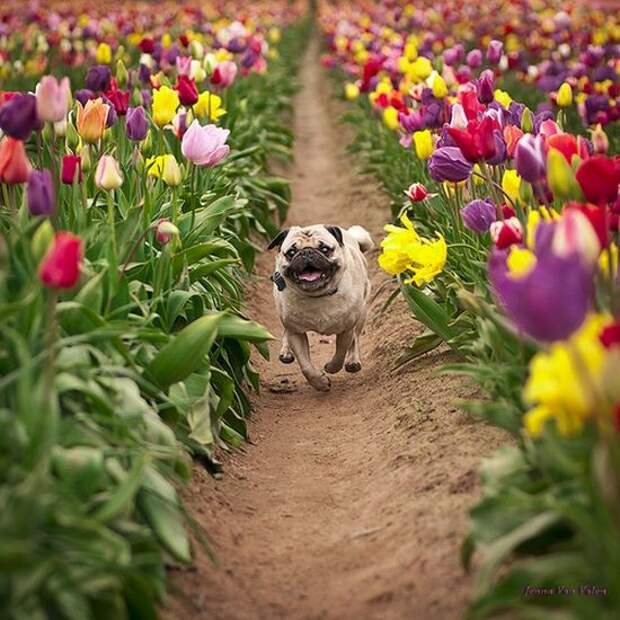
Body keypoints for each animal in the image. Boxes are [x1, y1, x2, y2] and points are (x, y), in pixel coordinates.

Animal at [266, 225, 372, 392]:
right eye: (291, 252)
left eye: (324, 249)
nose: (307, 252)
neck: (318, 296)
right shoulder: (296, 332)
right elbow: (306, 366)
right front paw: (320, 383)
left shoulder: (346, 329)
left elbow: (340, 352)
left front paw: (331, 367)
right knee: (285, 332)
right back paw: (286, 351)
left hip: (361, 313)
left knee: (355, 337)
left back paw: (353, 361)